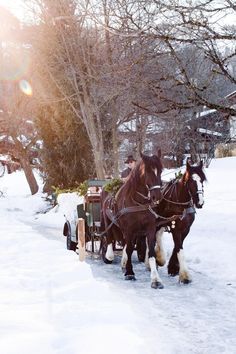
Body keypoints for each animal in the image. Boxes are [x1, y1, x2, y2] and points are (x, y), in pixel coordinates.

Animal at [101, 151, 164, 290]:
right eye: (148, 171)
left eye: (160, 170)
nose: (157, 196)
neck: (138, 202)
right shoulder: (129, 229)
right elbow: (129, 249)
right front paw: (130, 273)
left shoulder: (150, 228)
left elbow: (151, 252)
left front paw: (155, 279)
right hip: (108, 220)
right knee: (109, 237)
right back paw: (109, 255)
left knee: (124, 243)